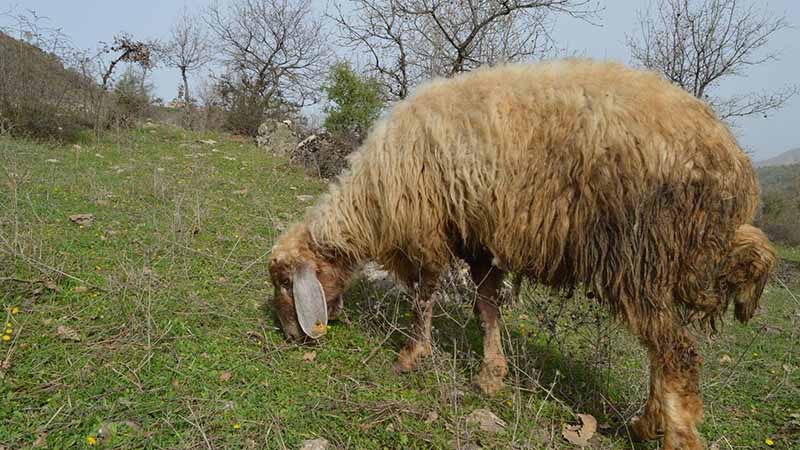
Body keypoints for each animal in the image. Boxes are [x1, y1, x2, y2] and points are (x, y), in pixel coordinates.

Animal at [268, 59, 776, 450]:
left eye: (283, 283)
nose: (291, 337)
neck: (370, 199)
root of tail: (730, 158)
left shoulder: (429, 229)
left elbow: (424, 299)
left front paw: (412, 356)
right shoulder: (478, 237)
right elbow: (487, 309)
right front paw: (491, 376)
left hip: (639, 256)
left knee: (677, 352)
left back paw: (672, 432)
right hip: (678, 253)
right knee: (707, 301)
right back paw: (647, 420)